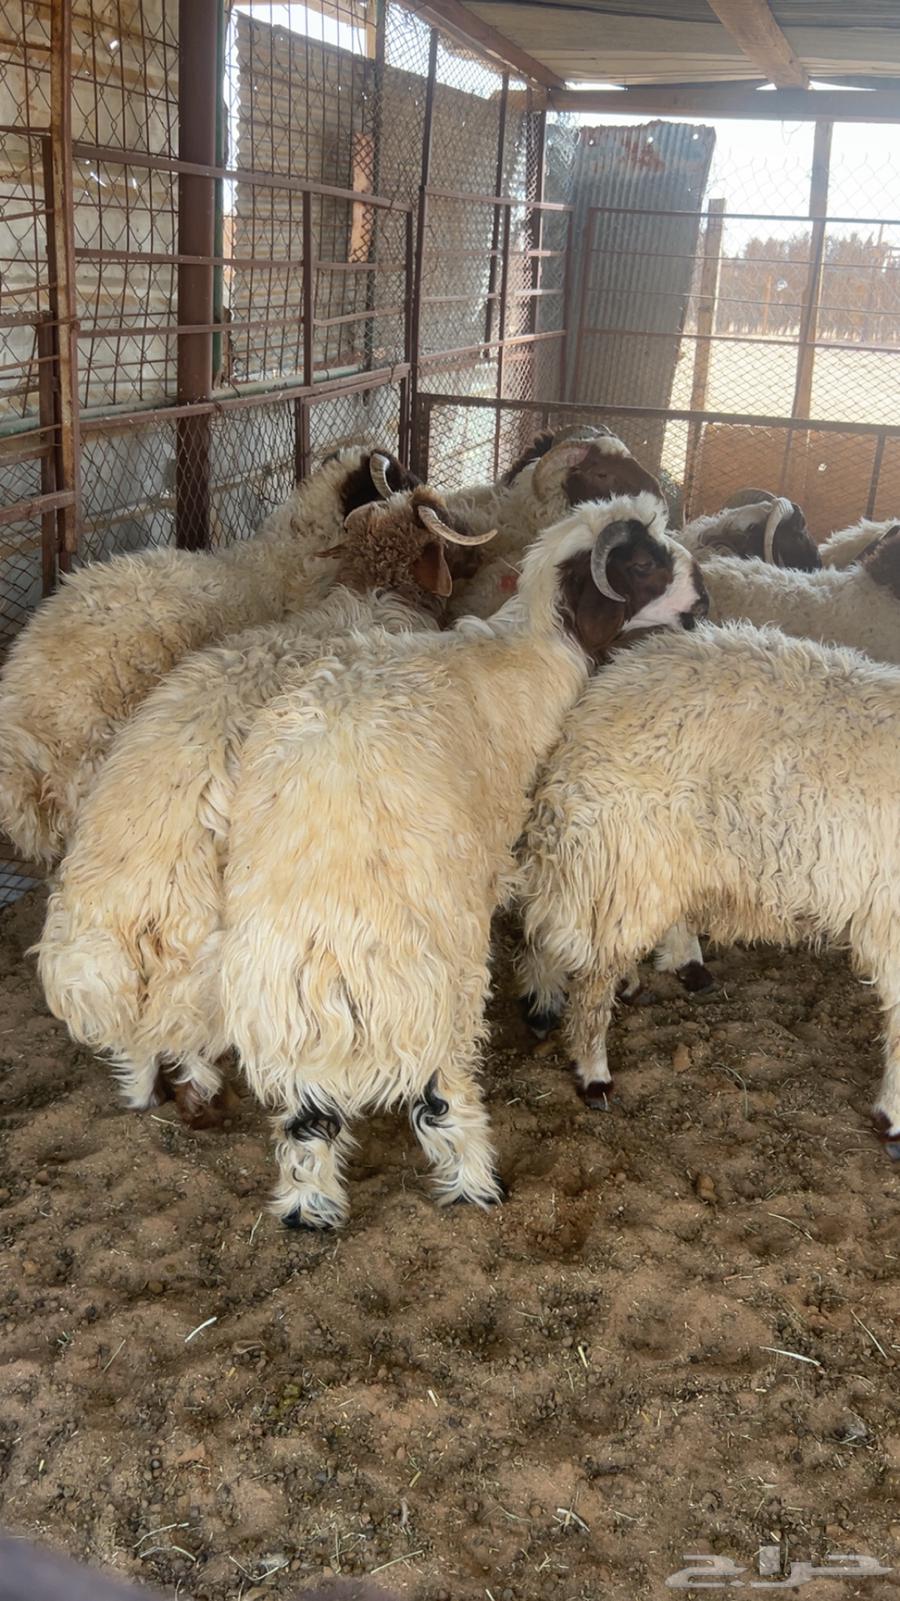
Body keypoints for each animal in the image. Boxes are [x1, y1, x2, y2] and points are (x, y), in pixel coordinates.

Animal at [37, 488, 492, 1130]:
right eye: (446, 526)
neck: (373, 593)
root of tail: (129, 901)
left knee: (140, 1049)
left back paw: (151, 1092)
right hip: (202, 970)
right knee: (182, 1043)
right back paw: (203, 1096)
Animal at [217, 492, 708, 1227]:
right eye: (646, 562)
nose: (702, 596)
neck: (531, 651)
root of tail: (332, 926)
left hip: (286, 1006)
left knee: (307, 1119)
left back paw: (309, 1209)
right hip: (440, 985)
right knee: (441, 1096)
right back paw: (479, 1183)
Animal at [517, 619, 900, 1157]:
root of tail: (605, 690)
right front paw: (892, 1116)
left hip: (654, 856)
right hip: (626, 849)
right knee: (585, 963)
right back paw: (591, 1069)